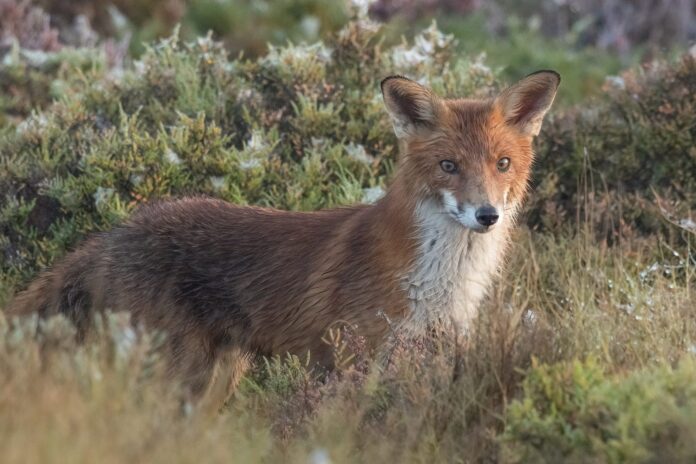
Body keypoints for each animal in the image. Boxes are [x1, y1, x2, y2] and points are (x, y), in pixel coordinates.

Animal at [6, 70, 559, 404]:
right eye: (449, 166)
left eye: (501, 164)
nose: (486, 215)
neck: (442, 282)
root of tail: (116, 231)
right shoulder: (354, 360)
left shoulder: (437, 355)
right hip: (177, 373)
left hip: (217, 378)